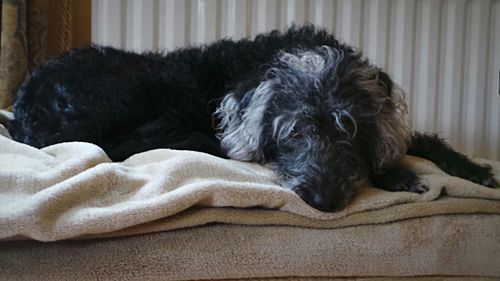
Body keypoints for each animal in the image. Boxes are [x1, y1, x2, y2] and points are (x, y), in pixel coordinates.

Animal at [6, 25, 496, 210]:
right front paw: (398, 174)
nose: (323, 200)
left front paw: (472, 168)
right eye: (293, 133)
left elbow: (421, 139)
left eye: (349, 130)